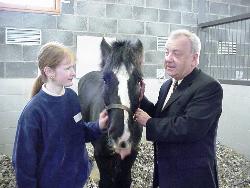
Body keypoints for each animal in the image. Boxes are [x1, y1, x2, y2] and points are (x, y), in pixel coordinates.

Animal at [78, 38, 144, 188]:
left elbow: (124, 179)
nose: (122, 136)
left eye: (138, 79)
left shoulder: (131, 154)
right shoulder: (101, 155)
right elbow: (106, 181)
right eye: (105, 79)